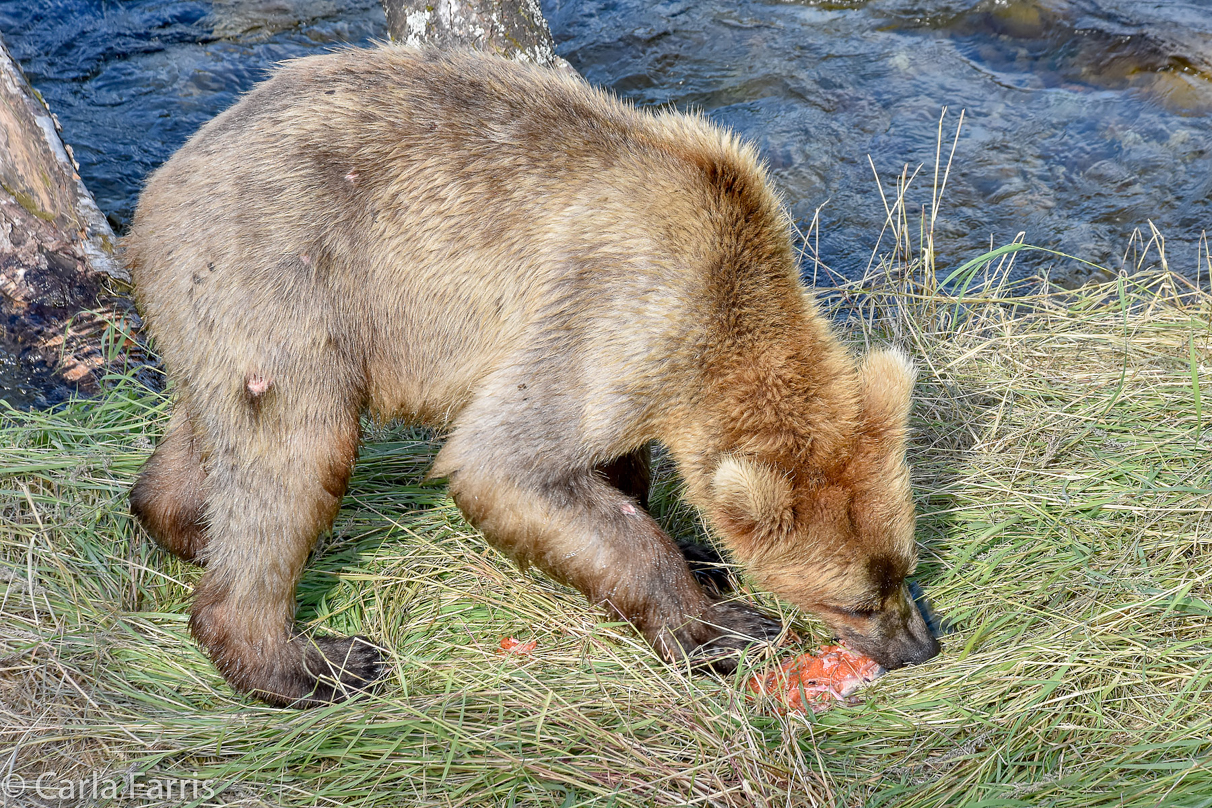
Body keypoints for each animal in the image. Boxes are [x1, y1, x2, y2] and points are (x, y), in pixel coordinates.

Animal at [125, 45, 935, 707]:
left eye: (902, 567)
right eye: (856, 602)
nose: (917, 646)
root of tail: (159, 184)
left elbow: (611, 467)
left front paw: (697, 551)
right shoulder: (620, 306)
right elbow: (506, 463)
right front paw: (721, 627)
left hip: (222, 313)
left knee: (215, 436)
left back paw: (185, 525)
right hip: (288, 273)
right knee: (299, 453)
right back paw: (313, 664)